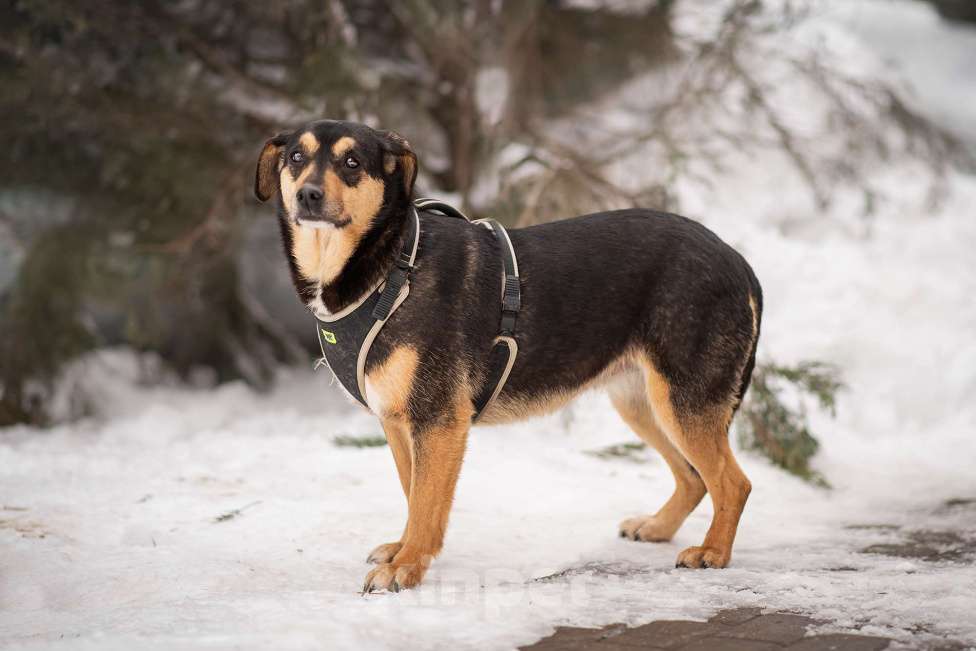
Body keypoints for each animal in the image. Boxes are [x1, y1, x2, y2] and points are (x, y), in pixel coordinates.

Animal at [254, 119, 764, 592]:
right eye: (296, 157)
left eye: (352, 162)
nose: (308, 195)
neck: (390, 268)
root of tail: (736, 260)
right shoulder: (398, 422)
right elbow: (412, 491)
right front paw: (403, 551)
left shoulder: (438, 420)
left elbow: (425, 502)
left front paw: (406, 566)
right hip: (641, 400)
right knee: (695, 477)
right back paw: (658, 527)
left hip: (682, 399)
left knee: (733, 483)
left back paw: (713, 552)